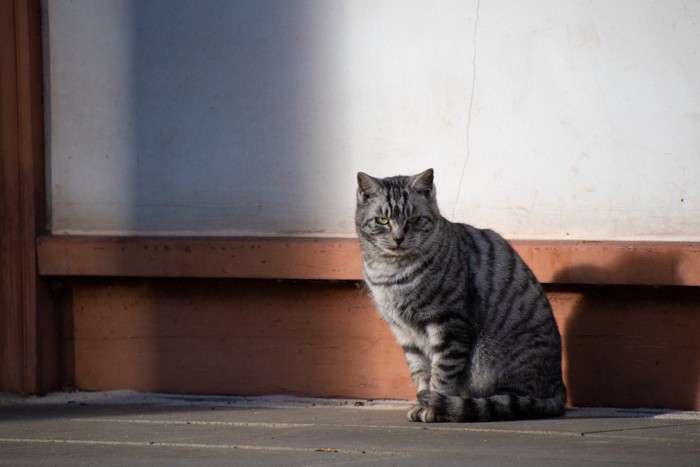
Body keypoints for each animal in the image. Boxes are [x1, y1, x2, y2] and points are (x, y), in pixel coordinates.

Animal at [356, 169, 568, 424]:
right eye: (382, 220)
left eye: (413, 220)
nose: (398, 238)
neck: (392, 271)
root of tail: (560, 387)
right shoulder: (404, 333)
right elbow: (421, 373)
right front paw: (421, 403)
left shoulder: (449, 324)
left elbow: (441, 373)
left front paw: (433, 407)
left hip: (490, 364)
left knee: (508, 401)